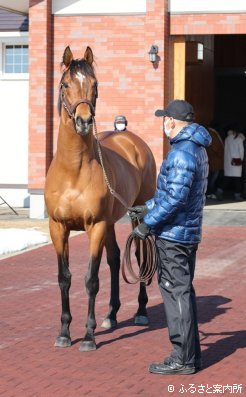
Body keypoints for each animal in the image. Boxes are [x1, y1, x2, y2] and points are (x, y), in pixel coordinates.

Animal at [44, 45, 156, 350]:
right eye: (65, 85)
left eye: (95, 85)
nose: (83, 121)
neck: (73, 171)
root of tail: (130, 138)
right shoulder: (58, 228)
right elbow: (64, 278)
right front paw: (64, 333)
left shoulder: (95, 226)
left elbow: (91, 279)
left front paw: (89, 336)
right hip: (111, 222)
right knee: (116, 258)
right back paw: (111, 316)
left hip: (135, 216)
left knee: (140, 258)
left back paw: (140, 312)